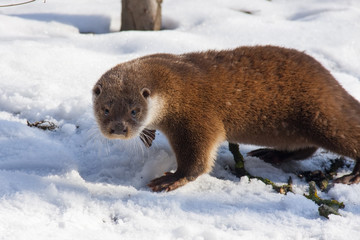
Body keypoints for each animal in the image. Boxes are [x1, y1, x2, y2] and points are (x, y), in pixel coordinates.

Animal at [92, 45, 360, 191]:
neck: (173, 88)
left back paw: (352, 176)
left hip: (323, 115)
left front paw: (173, 179)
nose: (118, 128)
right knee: (306, 149)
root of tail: (332, 82)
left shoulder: (196, 116)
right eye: (106, 109)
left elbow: (198, 158)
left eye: (134, 110)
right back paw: (270, 154)